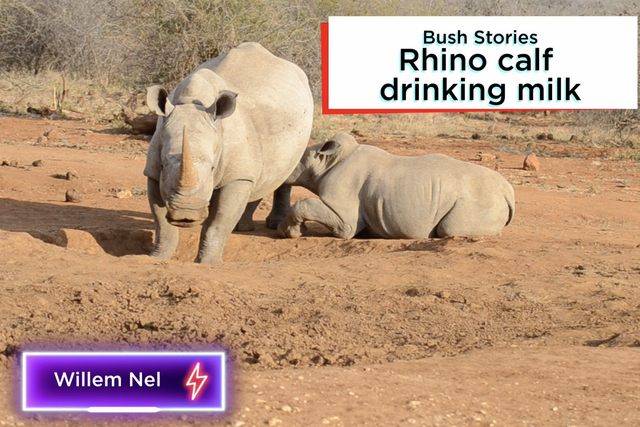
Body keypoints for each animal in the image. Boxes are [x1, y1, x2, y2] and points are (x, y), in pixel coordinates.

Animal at [144, 42, 313, 263]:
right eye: (163, 165)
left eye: (212, 168)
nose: (185, 215)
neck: (190, 102)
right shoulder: (153, 171)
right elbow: (161, 221)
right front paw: (158, 257)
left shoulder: (234, 175)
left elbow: (219, 222)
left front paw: (208, 263)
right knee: (258, 172)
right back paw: (243, 227)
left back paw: (273, 225)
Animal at [278, 132, 515, 240]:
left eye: (294, 160)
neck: (327, 162)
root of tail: (507, 191)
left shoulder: (344, 218)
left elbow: (307, 205)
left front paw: (289, 232)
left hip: (480, 197)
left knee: (450, 229)